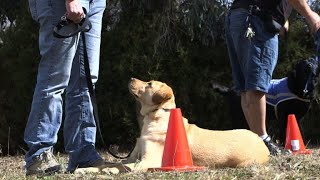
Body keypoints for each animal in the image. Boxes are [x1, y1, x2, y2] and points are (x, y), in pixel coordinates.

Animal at [74, 77, 268, 174]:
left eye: (149, 84)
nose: (130, 78)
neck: (155, 116)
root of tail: (263, 145)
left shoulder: (149, 161)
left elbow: (122, 166)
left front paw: (111, 171)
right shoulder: (132, 157)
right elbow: (108, 163)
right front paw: (85, 169)